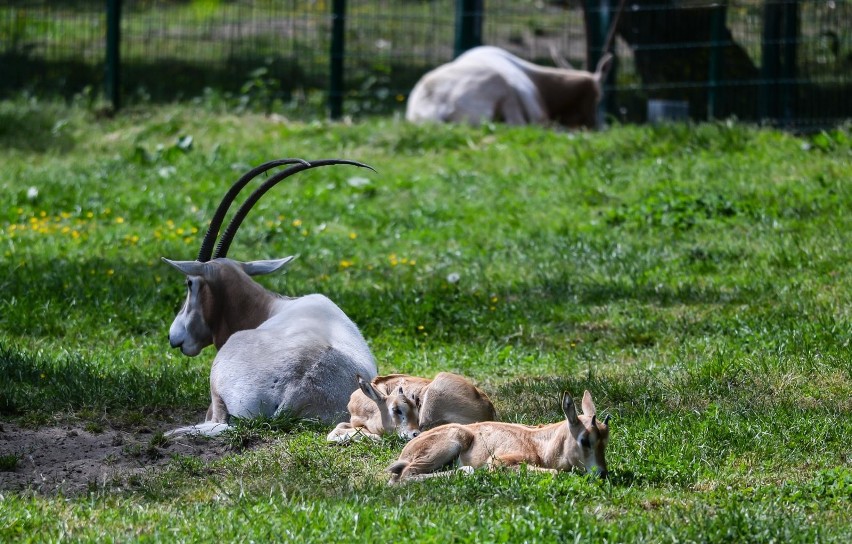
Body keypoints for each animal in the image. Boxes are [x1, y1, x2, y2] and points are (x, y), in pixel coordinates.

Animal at [386, 388, 604, 482]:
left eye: (605, 438)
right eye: (585, 440)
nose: (602, 472)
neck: (539, 443)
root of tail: (407, 451)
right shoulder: (499, 461)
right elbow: (556, 472)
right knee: (404, 476)